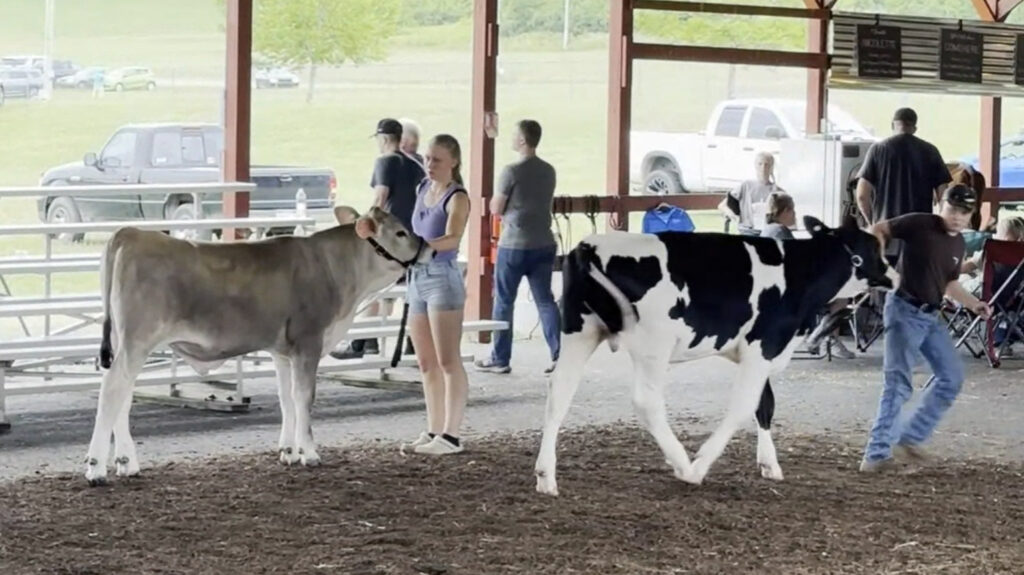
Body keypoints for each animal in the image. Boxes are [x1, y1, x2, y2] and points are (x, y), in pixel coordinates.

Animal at [536, 214, 897, 493]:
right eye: (875, 248)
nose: (895, 274)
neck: (800, 275)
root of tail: (588, 247)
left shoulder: (763, 351)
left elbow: (765, 405)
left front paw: (769, 464)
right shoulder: (763, 345)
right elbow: (743, 407)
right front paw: (700, 465)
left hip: (580, 331)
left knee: (559, 392)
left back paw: (545, 475)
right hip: (654, 344)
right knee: (646, 402)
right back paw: (683, 464)